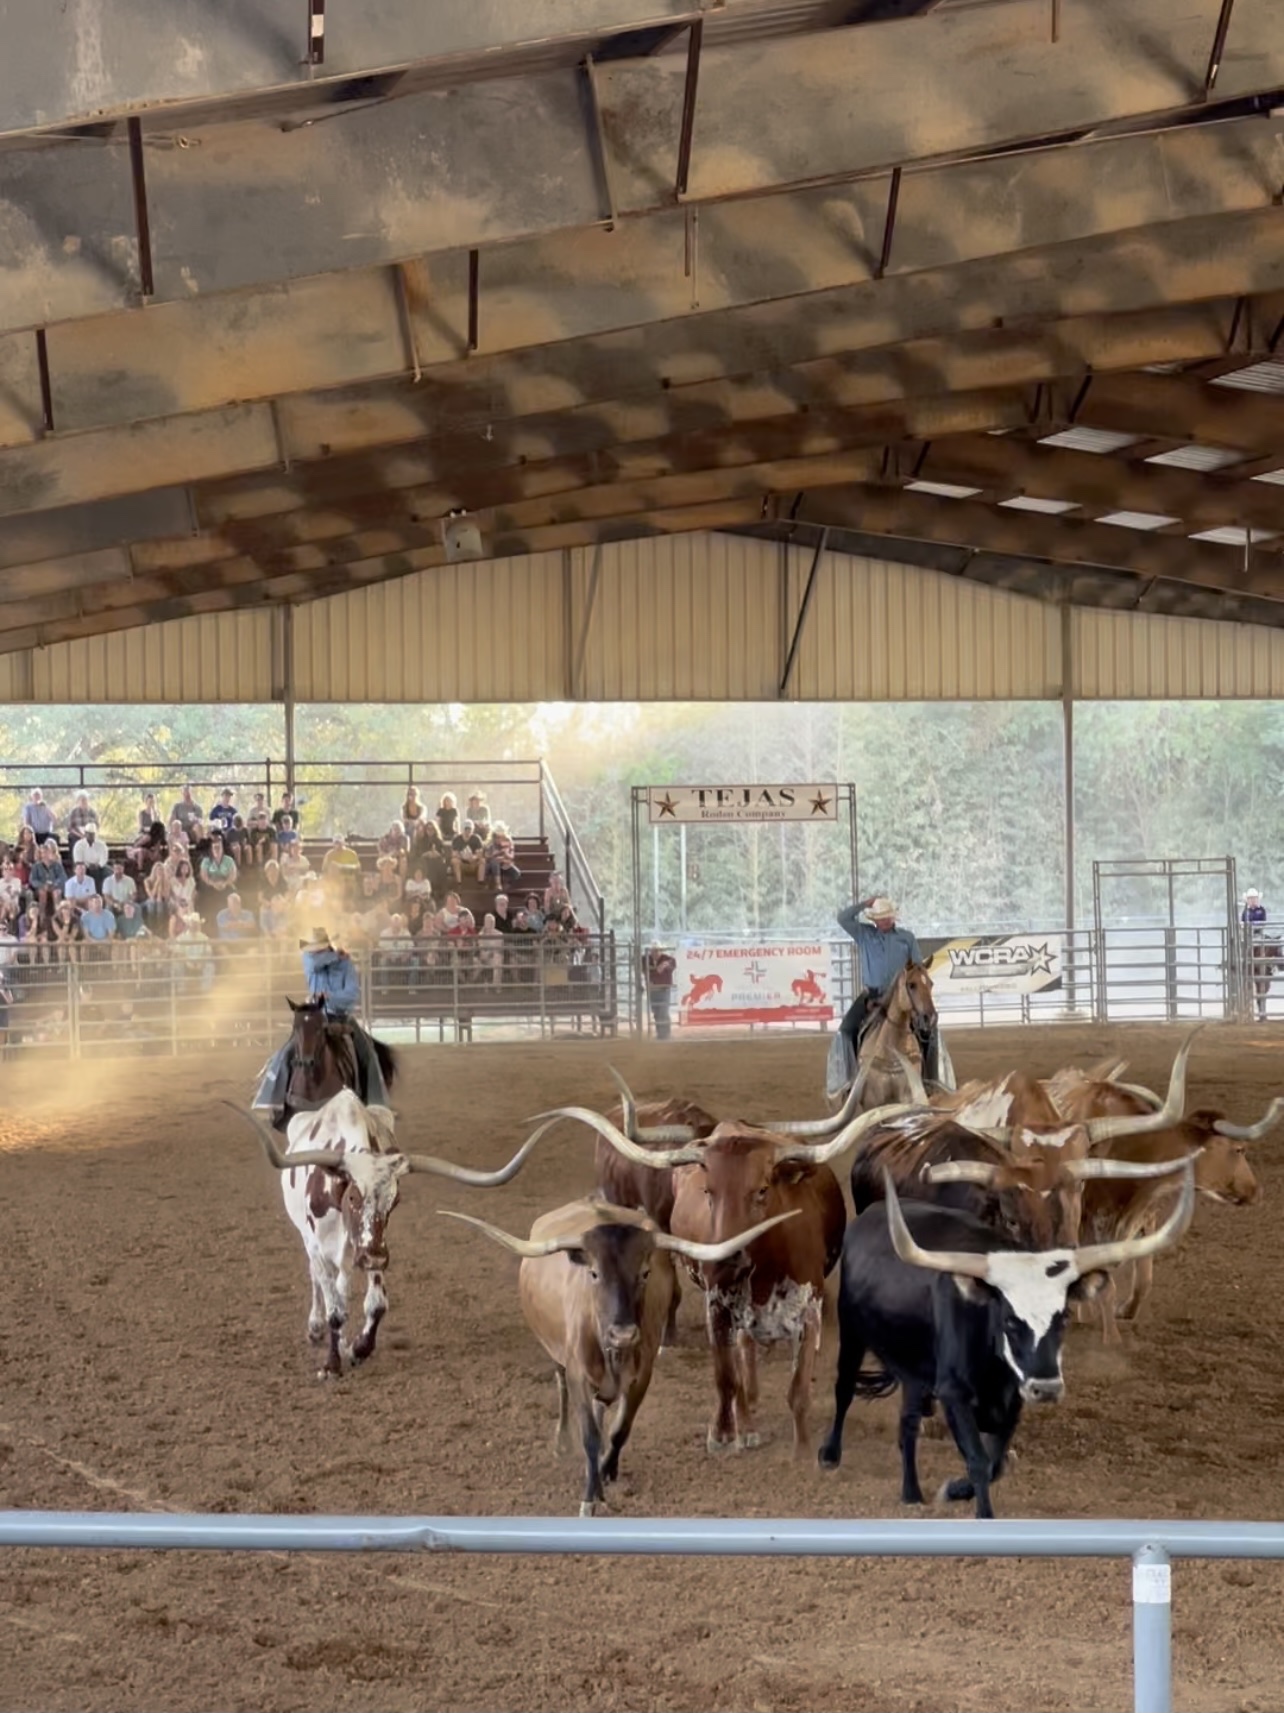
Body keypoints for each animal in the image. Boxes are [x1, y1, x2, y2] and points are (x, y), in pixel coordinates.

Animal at [231, 1092, 544, 1377]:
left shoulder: (374, 1246)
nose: (373, 1257)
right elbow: (333, 1307)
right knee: (319, 1280)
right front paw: (331, 1363)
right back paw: (316, 1327)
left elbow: (376, 1305)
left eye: (395, 1200)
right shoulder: (320, 1245)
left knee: (343, 1284)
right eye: (353, 1197)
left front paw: (358, 1348)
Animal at [441, 1199, 796, 1515]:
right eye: (594, 1273)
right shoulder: (578, 1376)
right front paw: (590, 1496)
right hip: (556, 1355)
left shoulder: (641, 1378)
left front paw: (606, 1471)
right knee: (561, 1390)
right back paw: (562, 1442)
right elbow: (589, 1435)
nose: (623, 1334)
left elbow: (619, 1430)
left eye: (645, 1273)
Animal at [532, 1096, 914, 1457]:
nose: (721, 1261)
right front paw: (723, 1434)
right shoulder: (717, 1307)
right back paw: (744, 1423)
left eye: (762, 1190)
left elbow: (799, 1389)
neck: (765, 1270)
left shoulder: (811, 1312)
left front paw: (803, 1451)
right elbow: (727, 1377)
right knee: (740, 1363)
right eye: (708, 1191)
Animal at [817, 1165, 1195, 1517]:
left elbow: (995, 1463)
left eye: (1063, 1317)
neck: (993, 1366)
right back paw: (830, 1454)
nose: (1047, 1389)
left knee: (908, 1425)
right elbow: (978, 1460)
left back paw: (911, 1494)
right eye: (1010, 1320)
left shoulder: (1013, 1399)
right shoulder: (954, 1394)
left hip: (914, 1371)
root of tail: (867, 1218)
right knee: (844, 1388)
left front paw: (954, 1490)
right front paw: (981, 1512)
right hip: (852, 1334)